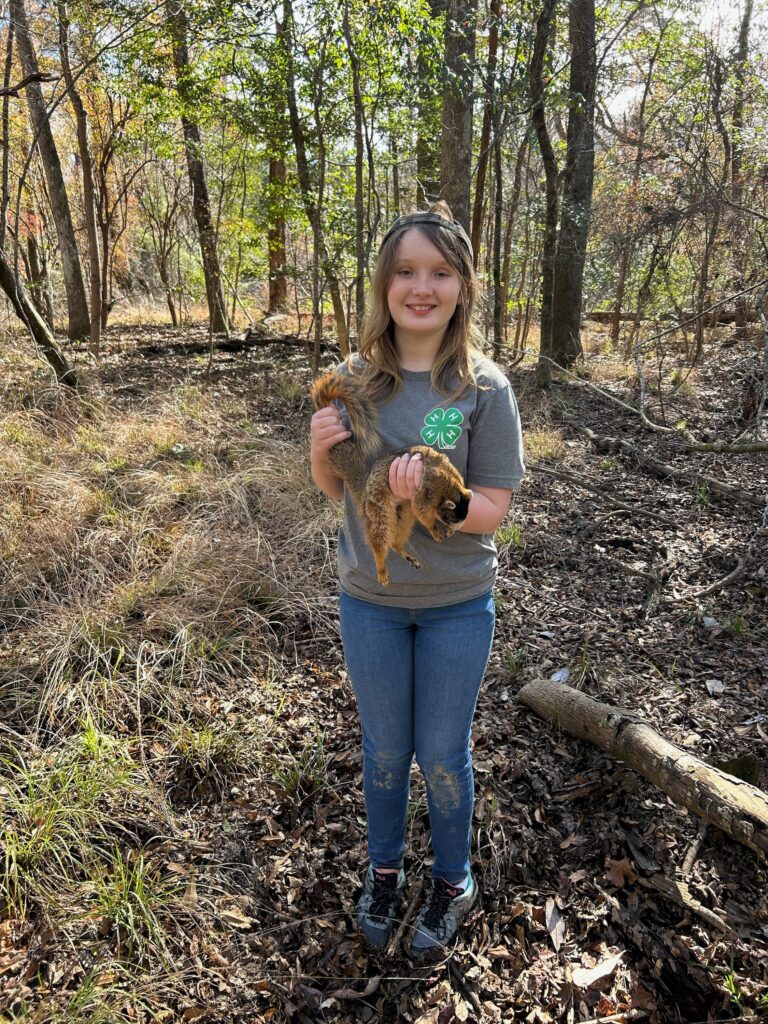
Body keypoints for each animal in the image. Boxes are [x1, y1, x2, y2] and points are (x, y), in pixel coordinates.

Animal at [310, 370, 472, 586]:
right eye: (450, 517)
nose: (451, 531)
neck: (451, 485)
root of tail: (365, 496)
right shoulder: (426, 492)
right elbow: (423, 512)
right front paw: (435, 530)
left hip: (403, 513)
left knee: (395, 540)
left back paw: (405, 553)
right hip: (380, 513)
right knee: (380, 542)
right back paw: (381, 567)